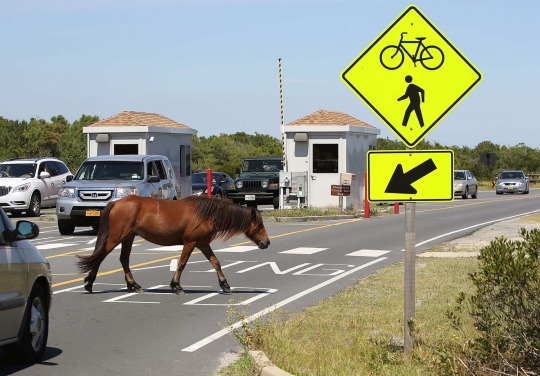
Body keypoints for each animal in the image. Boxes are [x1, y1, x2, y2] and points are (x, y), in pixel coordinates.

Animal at [76, 195, 270, 296]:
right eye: (259, 226)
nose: (266, 242)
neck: (206, 214)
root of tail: (116, 202)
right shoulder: (190, 243)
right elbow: (182, 264)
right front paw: (176, 286)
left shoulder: (203, 244)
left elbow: (216, 262)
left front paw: (225, 285)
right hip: (116, 237)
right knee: (101, 256)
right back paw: (89, 283)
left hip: (128, 237)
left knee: (124, 259)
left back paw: (134, 285)